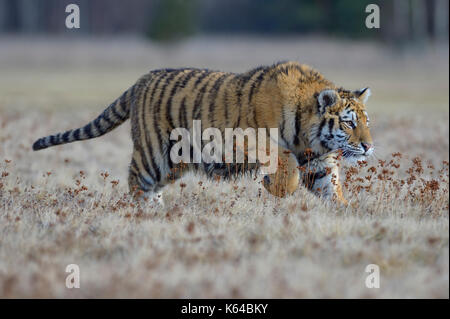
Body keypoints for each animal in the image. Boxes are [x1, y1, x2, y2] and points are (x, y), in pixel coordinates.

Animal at [32, 61, 372, 206]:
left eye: (366, 121)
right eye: (349, 123)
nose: (369, 147)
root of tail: (139, 81)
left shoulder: (317, 159)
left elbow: (330, 187)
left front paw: (345, 213)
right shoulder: (249, 140)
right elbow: (285, 165)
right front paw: (272, 185)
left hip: (174, 162)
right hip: (154, 154)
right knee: (135, 179)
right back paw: (144, 213)